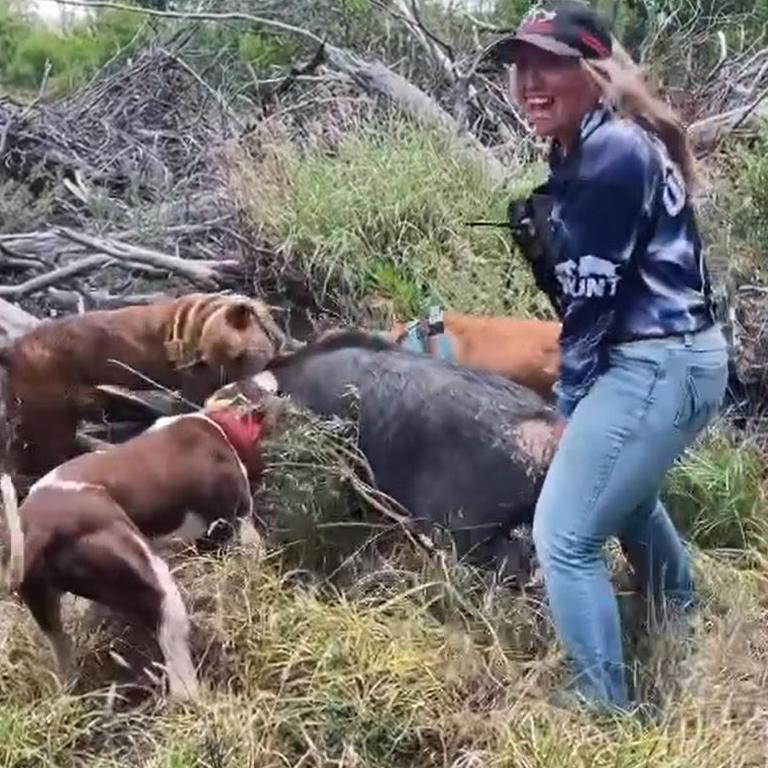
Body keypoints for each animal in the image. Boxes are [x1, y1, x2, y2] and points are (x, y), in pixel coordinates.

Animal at [0, 292, 288, 488]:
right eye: (235, 360)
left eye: (242, 357)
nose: (247, 391)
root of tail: (12, 351)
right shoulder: (196, 386)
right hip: (48, 418)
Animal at [0, 392, 272, 700]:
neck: (216, 423)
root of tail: (40, 528)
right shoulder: (243, 520)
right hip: (160, 587)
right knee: (179, 675)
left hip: (46, 608)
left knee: (63, 655)